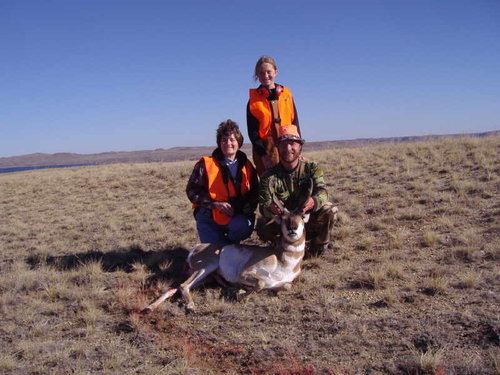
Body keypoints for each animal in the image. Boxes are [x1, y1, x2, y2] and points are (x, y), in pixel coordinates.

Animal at [142, 184, 312, 312]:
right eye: (282, 218)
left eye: (302, 217)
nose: (292, 229)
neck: (282, 260)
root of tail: (197, 247)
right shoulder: (245, 273)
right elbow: (261, 283)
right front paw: (240, 293)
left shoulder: (281, 282)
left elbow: (287, 286)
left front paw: (240, 290)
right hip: (206, 267)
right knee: (183, 286)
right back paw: (190, 306)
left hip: (205, 276)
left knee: (175, 288)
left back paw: (149, 308)